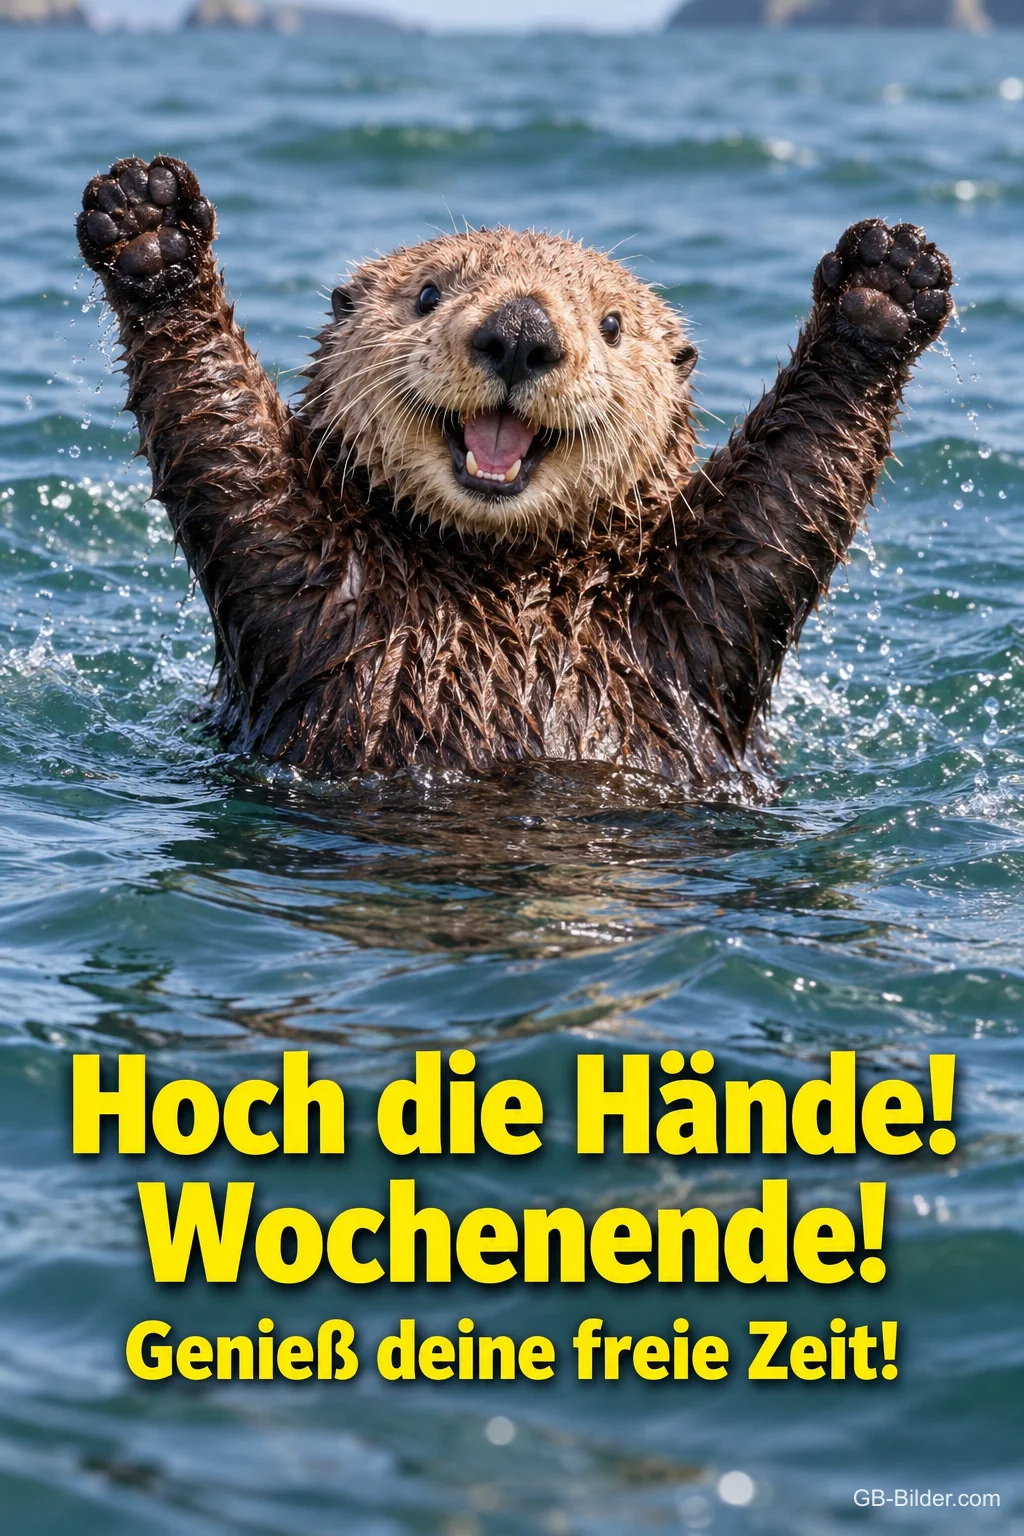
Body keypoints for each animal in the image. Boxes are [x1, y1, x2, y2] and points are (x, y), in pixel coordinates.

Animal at [76, 156, 953, 788]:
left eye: (611, 323)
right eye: (428, 294)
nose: (521, 331)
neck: (507, 582)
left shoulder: (710, 605)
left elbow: (790, 483)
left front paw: (884, 286)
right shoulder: (289, 572)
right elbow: (225, 440)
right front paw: (149, 226)